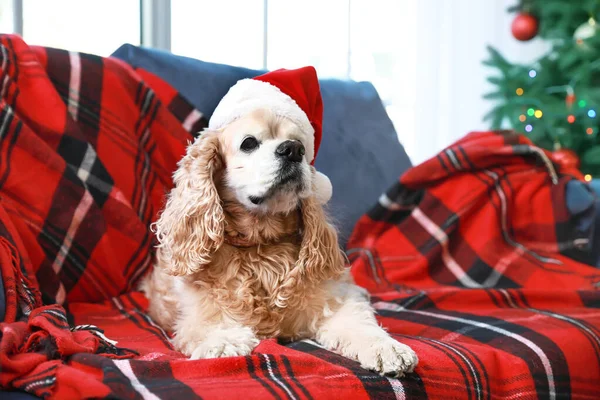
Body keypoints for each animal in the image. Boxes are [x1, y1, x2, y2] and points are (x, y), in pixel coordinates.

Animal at [143, 67, 420, 376]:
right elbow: (212, 324)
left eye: (302, 146)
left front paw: (387, 348)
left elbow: (357, 320)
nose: (293, 150)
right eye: (249, 143)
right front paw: (222, 344)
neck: (260, 245)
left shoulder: (330, 301)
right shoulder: (198, 314)